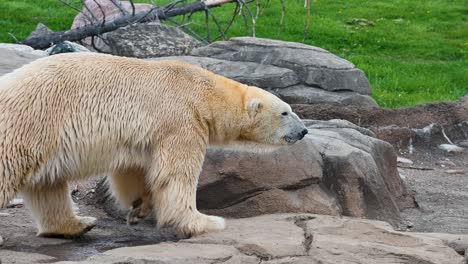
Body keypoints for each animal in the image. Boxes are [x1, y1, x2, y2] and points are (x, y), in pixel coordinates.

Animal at [0, 52, 308, 237]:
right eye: (285, 112)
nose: (304, 130)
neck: (203, 91)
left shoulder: (142, 135)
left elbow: (133, 169)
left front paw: (139, 207)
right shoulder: (180, 118)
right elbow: (176, 174)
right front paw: (205, 222)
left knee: (48, 186)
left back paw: (78, 224)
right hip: (31, 123)